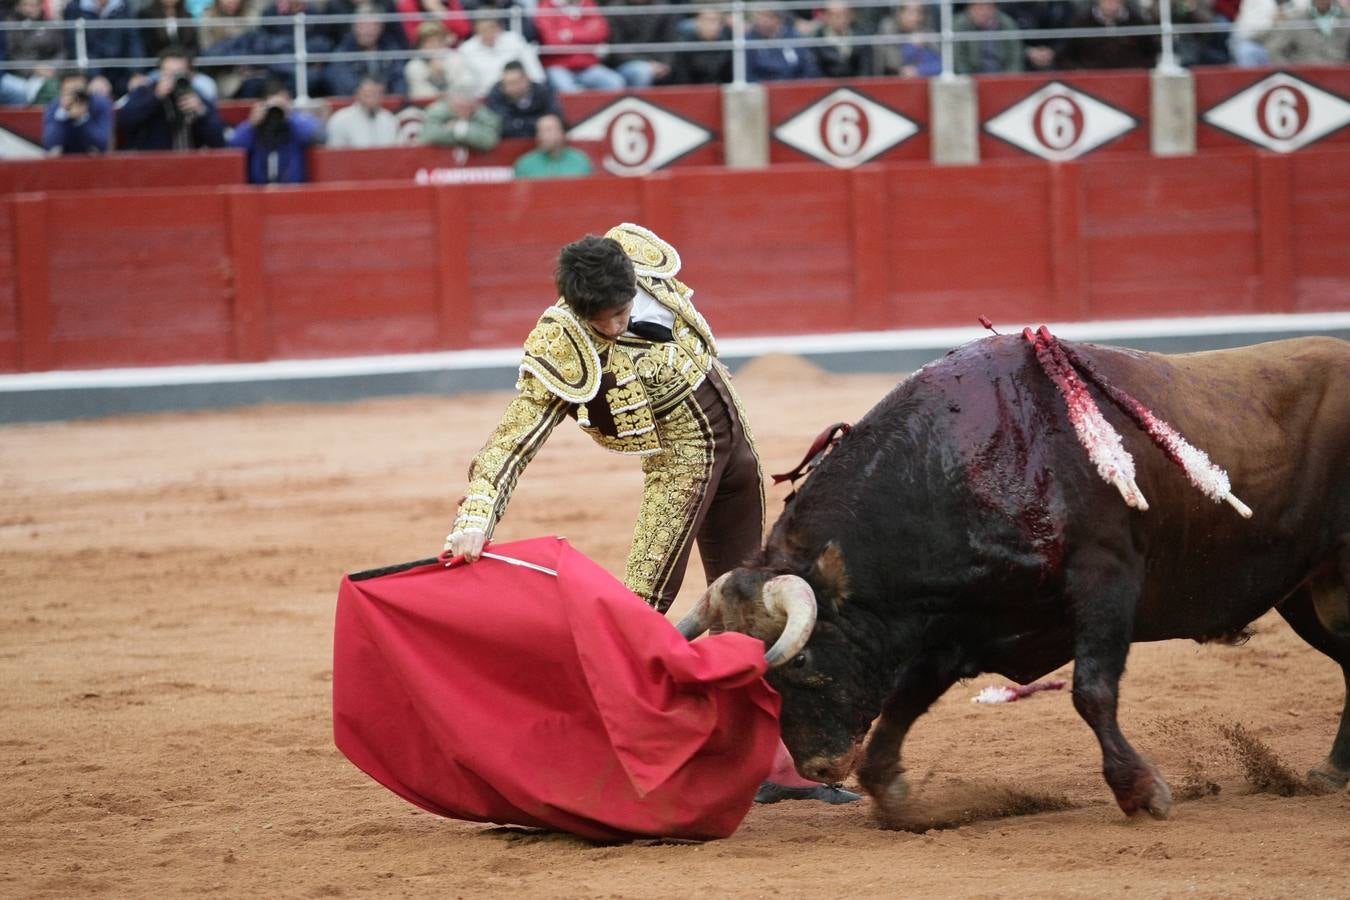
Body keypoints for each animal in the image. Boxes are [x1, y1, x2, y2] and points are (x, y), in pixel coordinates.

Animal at [680, 334, 1350, 820]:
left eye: (802, 665)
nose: (817, 768)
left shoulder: (1105, 578)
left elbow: (1091, 690)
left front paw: (1140, 791)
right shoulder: (962, 624)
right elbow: (906, 697)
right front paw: (892, 795)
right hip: (1305, 594)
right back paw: (1333, 771)